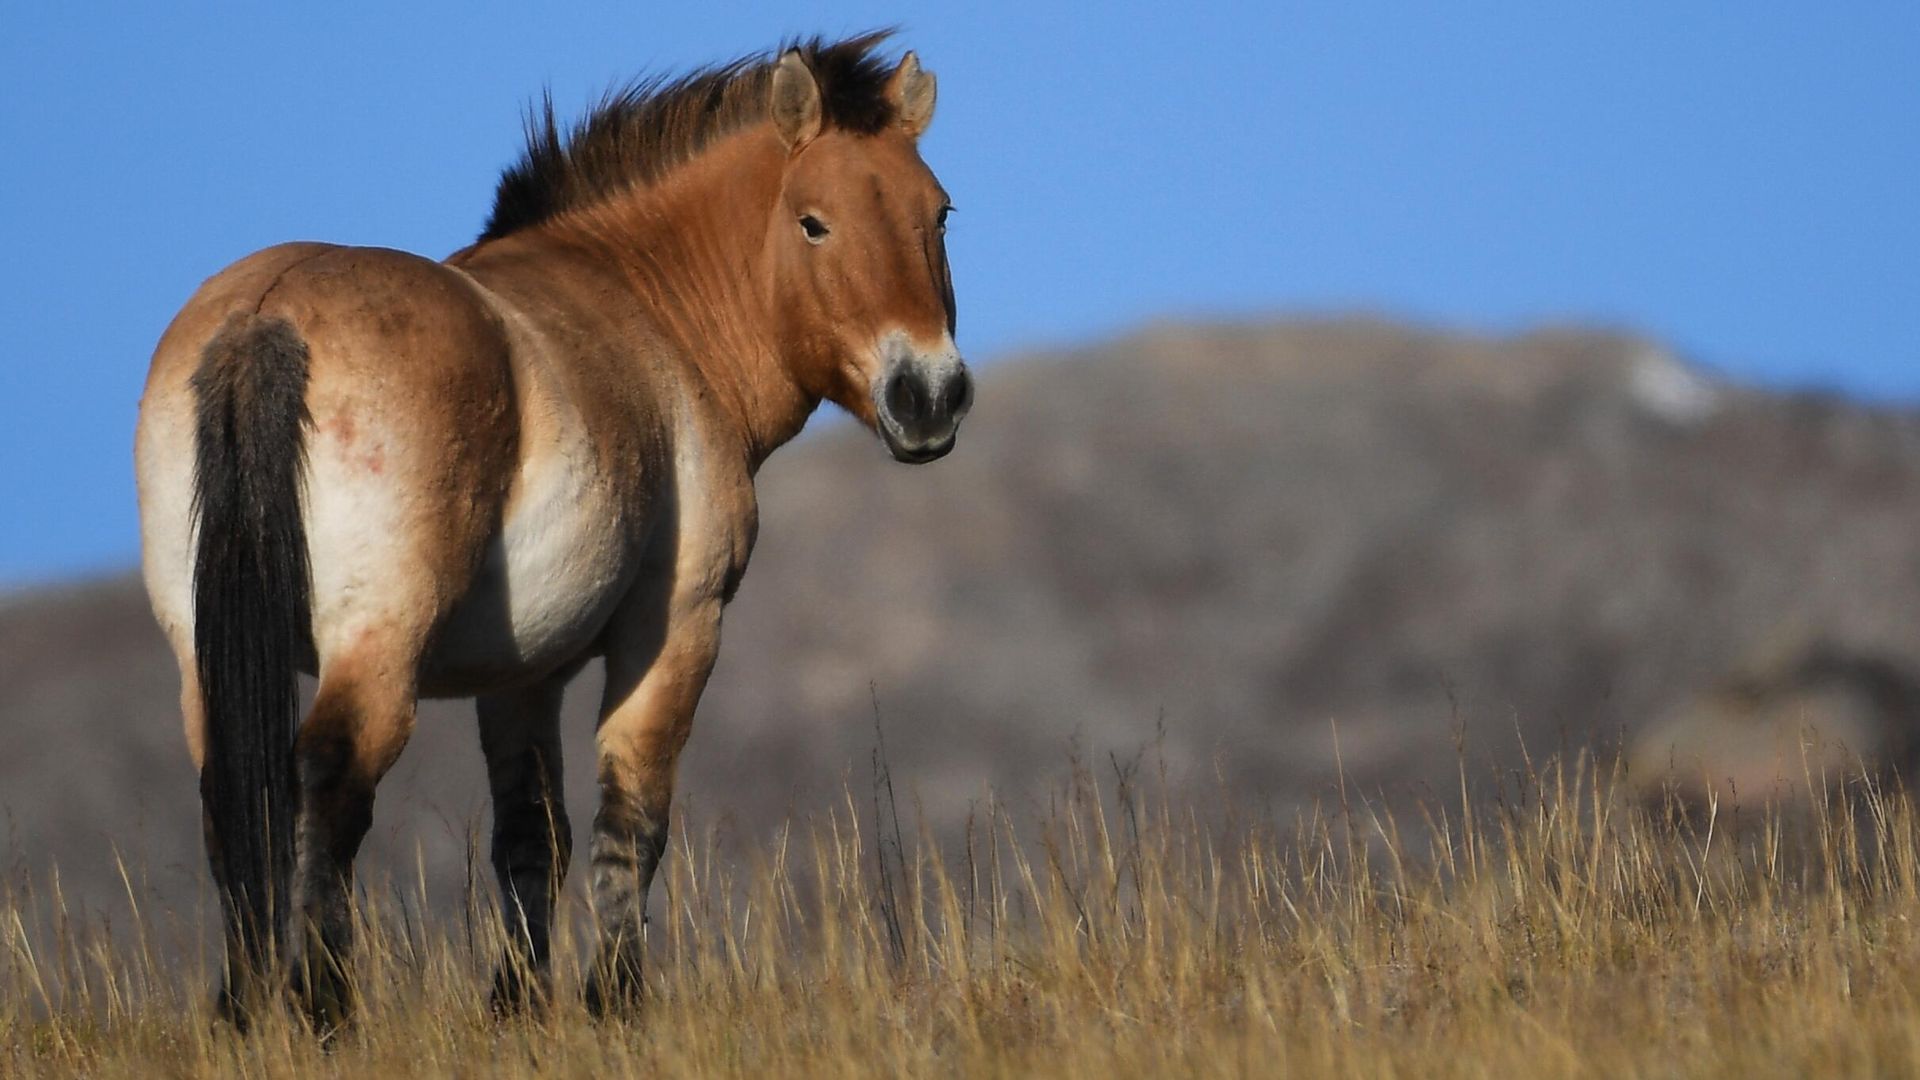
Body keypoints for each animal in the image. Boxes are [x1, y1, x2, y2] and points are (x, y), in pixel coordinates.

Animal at [133, 32, 969, 1028]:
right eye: (815, 223)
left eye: (940, 215)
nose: (930, 397)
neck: (652, 312)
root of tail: (269, 314)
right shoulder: (673, 630)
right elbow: (629, 820)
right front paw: (613, 1000)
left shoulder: (521, 674)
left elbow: (533, 838)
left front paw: (518, 1007)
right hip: (376, 644)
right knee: (330, 779)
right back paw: (323, 1005)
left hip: (202, 652)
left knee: (237, 793)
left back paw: (244, 1008)